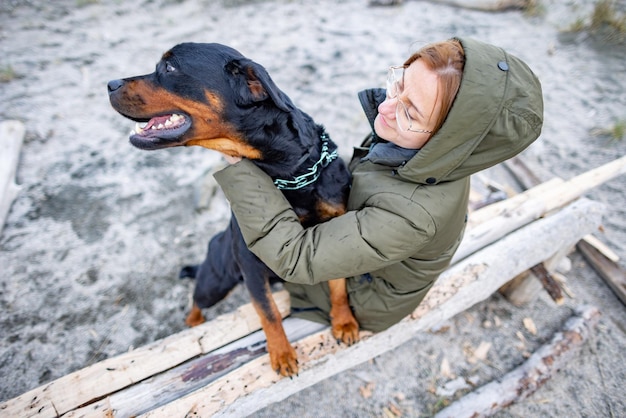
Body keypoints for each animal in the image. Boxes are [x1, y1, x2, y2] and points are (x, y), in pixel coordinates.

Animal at [108, 42, 356, 376]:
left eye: (169, 68)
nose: (110, 84)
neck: (289, 173)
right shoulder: (251, 264)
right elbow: (269, 312)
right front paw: (281, 353)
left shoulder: (334, 237)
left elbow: (339, 287)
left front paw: (344, 322)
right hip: (216, 280)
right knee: (197, 299)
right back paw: (194, 324)